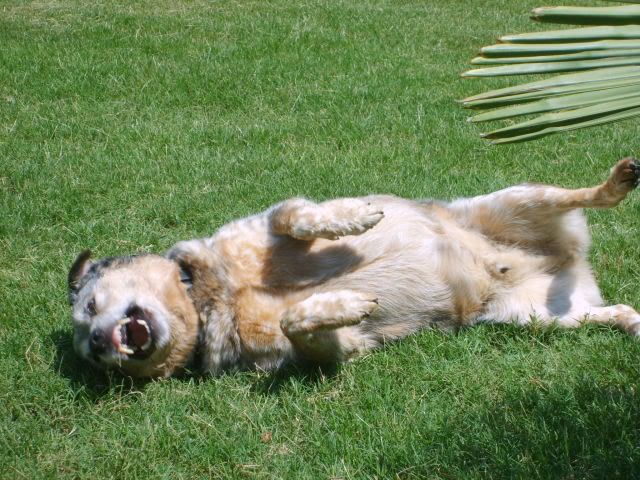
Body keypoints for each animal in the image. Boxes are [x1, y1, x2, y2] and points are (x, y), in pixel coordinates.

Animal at [69, 159, 640, 376]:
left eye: (91, 304)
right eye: (91, 355)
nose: (97, 342)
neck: (208, 295)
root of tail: (568, 261)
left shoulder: (269, 221)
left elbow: (297, 216)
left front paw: (356, 218)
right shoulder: (331, 350)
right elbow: (297, 320)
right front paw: (346, 303)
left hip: (512, 201)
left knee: (582, 195)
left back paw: (616, 181)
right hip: (536, 317)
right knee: (610, 311)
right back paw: (629, 321)